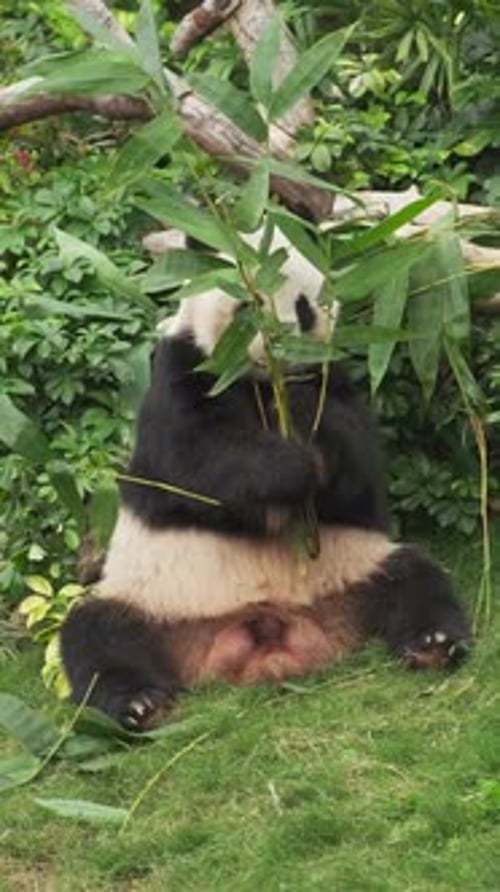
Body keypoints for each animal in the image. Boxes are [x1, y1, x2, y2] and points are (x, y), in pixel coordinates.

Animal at [61, 232, 472, 730]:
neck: (258, 382)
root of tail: (268, 630)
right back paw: (141, 704)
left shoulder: (328, 375)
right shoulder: (183, 369)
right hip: (155, 596)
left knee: (416, 580)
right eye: (249, 303)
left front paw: (301, 416)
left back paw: (433, 645)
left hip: (355, 567)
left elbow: (361, 470)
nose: (281, 344)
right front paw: (291, 466)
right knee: (96, 633)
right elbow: (193, 462)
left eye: (304, 308)